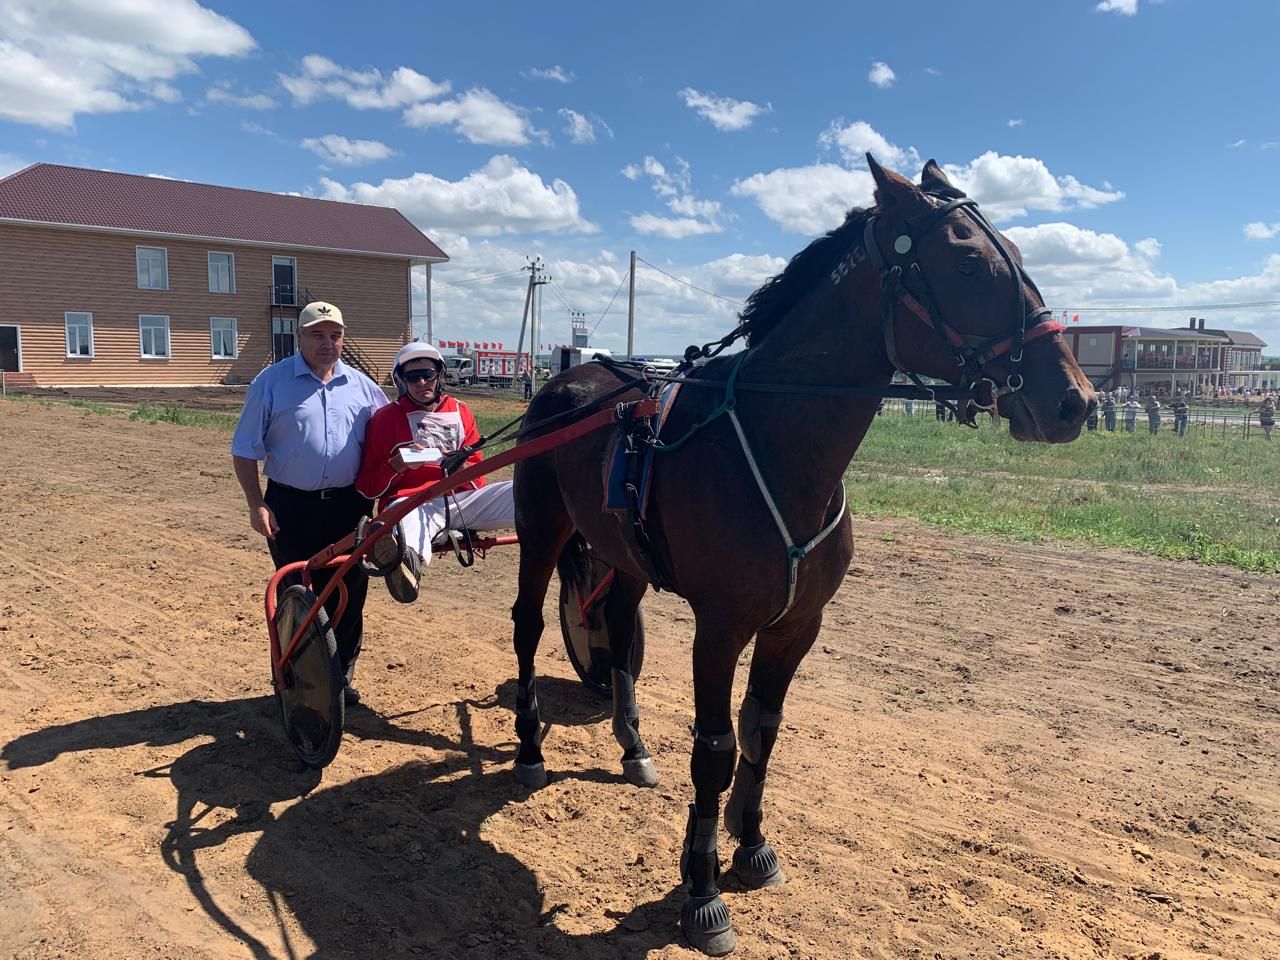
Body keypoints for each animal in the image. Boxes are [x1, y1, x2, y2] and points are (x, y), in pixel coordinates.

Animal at [504, 158, 1095, 957]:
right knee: (528, 625)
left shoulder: (797, 624)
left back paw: (631, 746)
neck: (777, 444)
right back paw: (529, 750)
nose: (1075, 400)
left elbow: (763, 730)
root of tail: (565, 381)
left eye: (1023, 258)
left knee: (620, 630)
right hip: (542, 529)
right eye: (970, 262)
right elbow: (716, 750)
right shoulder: (720, 627)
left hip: (622, 553)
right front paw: (703, 891)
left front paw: (753, 846)